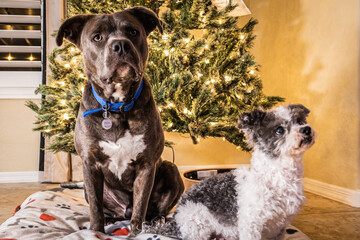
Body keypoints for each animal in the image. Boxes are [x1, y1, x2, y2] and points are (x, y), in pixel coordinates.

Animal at [57, 6, 186, 235]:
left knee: (153, 209)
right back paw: (111, 220)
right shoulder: (89, 164)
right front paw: (96, 231)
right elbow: (96, 208)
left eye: (133, 32)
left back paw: (156, 220)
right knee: (104, 207)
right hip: (89, 188)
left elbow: (141, 205)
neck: (116, 107)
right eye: (97, 37)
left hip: (171, 169)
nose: (121, 45)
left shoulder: (146, 165)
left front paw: (137, 233)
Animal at [148, 104, 316, 240]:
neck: (278, 176)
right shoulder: (251, 225)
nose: (306, 129)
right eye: (279, 130)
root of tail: (176, 217)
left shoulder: (279, 228)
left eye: (300, 121)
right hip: (197, 224)